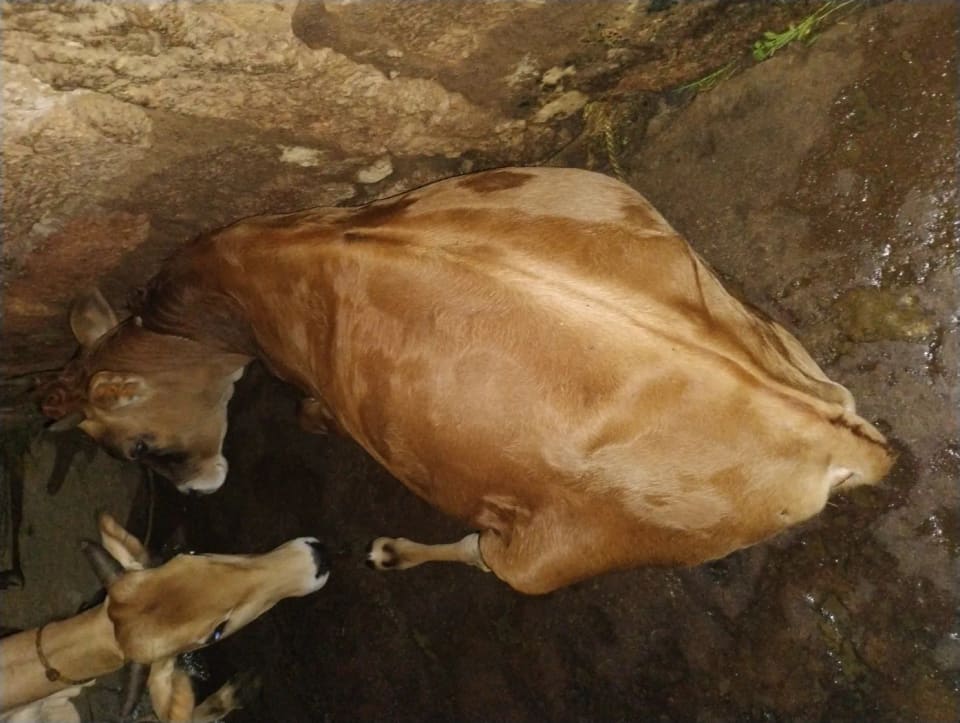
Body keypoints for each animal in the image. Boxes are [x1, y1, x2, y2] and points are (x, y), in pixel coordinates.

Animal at [40, 167, 894, 594]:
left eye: (134, 446)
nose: (193, 488)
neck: (216, 299)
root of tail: (827, 439)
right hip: (756, 321)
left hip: (549, 558)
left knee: (489, 558)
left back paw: (394, 550)